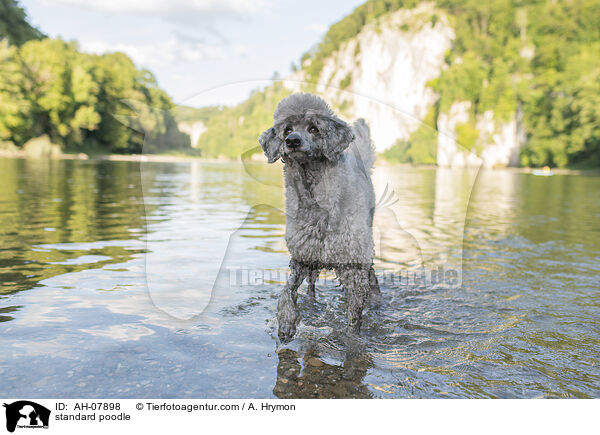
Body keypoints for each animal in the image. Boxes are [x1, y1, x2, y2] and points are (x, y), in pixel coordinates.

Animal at [258, 93, 380, 342]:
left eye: (314, 128)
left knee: (372, 280)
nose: (292, 141)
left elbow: (354, 316)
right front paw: (286, 323)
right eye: (287, 129)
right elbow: (287, 291)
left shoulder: (353, 265)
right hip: (315, 262)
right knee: (312, 286)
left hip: (364, 250)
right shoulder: (302, 256)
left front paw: (351, 338)